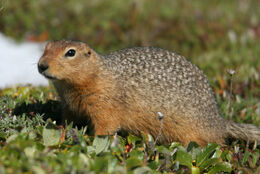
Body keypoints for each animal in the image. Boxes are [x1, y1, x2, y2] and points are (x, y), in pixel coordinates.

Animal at [38, 40, 260, 146]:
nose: (41, 65)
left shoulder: (105, 103)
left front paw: (93, 140)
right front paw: (63, 129)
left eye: (71, 52)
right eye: (45, 47)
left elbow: (105, 126)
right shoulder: (69, 105)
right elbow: (68, 118)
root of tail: (219, 122)